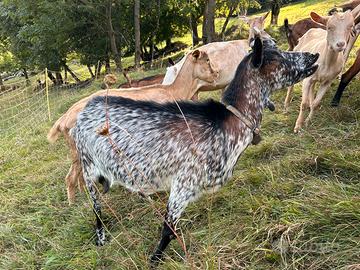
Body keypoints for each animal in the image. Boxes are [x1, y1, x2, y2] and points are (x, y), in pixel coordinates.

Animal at [71, 36, 320, 264]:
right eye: (276, 58)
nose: (313, 56)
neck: (227, 122)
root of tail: (84, 110)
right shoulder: (184, 182)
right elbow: (168, 229)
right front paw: (154, 260)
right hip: (88, 166)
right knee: (96, 206)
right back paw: (101, 236)